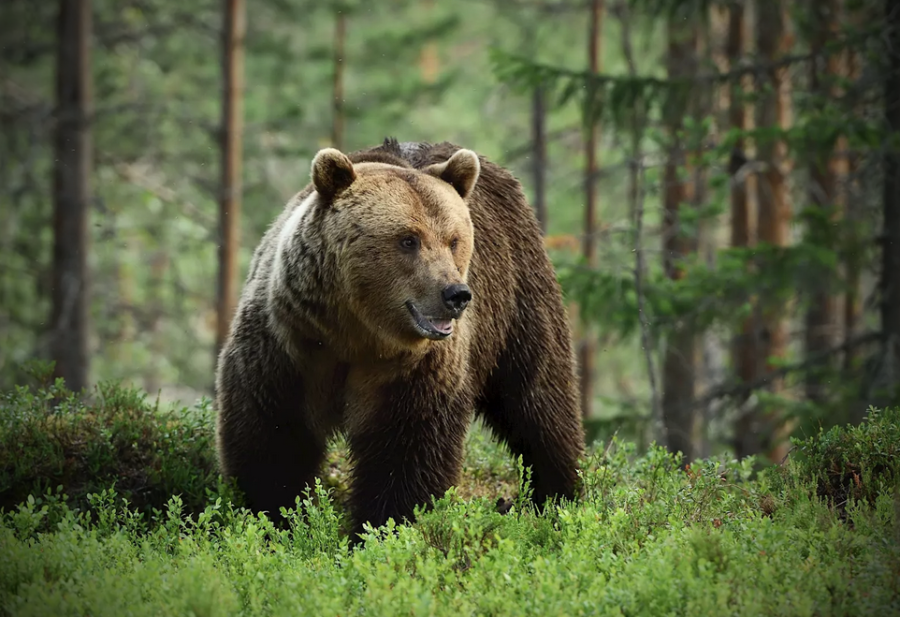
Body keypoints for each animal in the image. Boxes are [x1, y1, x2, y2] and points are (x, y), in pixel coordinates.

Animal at [215, 137, 588, 540]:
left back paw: (559, 496)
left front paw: (382, 527)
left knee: (539, 398)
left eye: (453, 240)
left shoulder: (414, 369)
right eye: (409, 239)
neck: (357, 333)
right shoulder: (289, 345)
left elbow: (406, 450)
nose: (456, 294)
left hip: (518, 296)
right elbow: (275, 438)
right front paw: (273, 518)